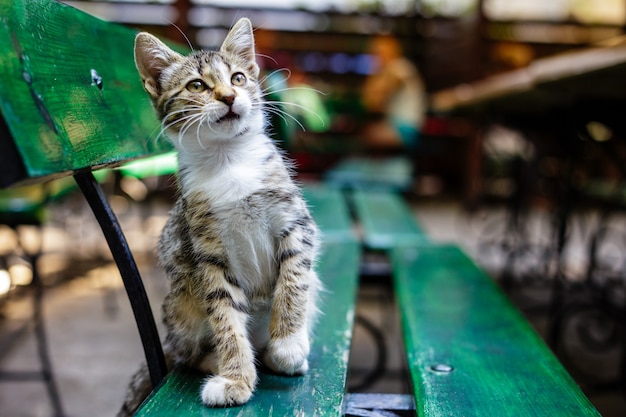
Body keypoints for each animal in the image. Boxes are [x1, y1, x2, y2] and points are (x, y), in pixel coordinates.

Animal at [120, 17, 320, 412]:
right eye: (197, 85)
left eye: (239, 78)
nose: (228, 97)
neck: (229, 160)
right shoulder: (205, 253)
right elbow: (226, 318)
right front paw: (235, 378)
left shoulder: (296, 223)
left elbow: (294, 281)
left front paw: (288, 343)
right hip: (181, 303)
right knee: (186, 354)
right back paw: (221, 361)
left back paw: (278, 353)